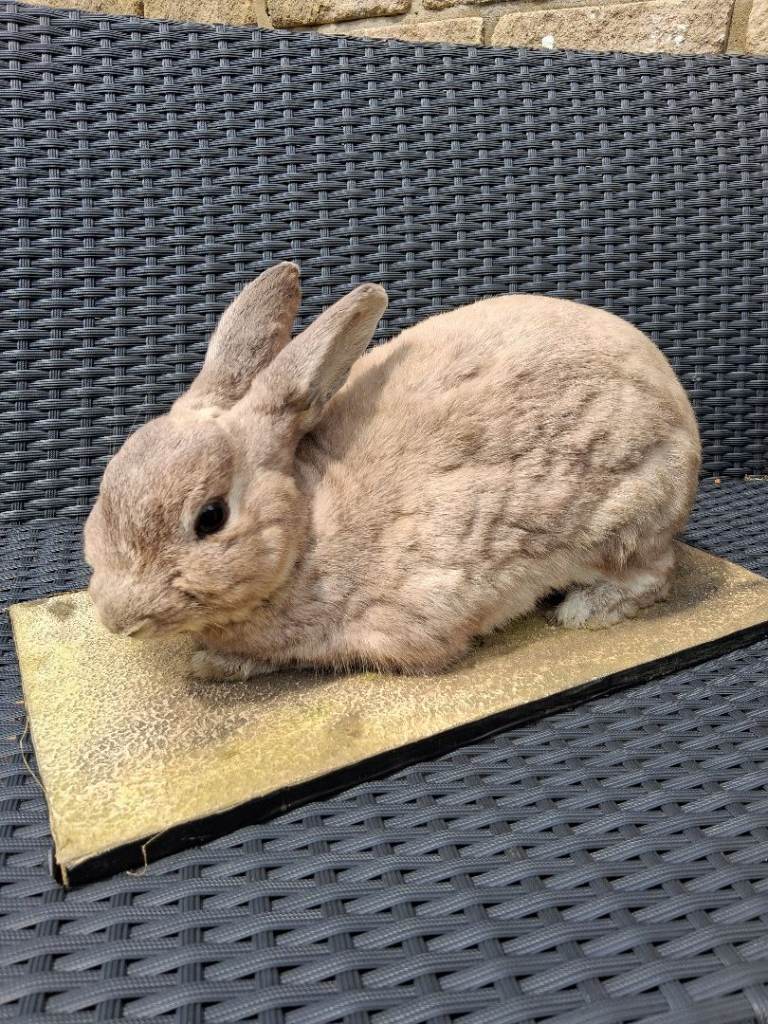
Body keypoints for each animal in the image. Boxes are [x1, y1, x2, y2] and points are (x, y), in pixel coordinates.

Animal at [84, 261, 701, 680]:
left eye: (210, 517)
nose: (117, 617)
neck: (309, 527)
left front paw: (213, 664)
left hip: (628, 515)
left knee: (652, 575)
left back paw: (581, 612)